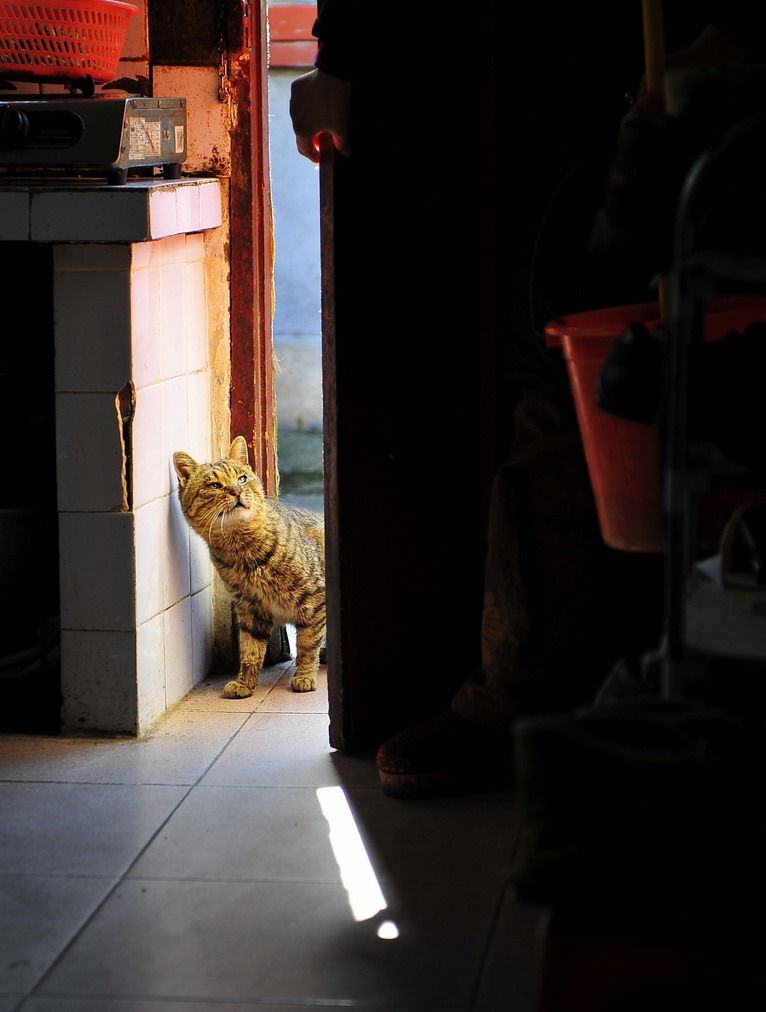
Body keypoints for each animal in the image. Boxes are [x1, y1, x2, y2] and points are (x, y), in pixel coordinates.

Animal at [173, 435, 325, 696]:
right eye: (215, 485)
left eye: (242, 478)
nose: (237, 490)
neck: (242, 550)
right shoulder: (250, 607)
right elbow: (250, 650)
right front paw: (244, 682)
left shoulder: (314, 598)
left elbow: (307, 644)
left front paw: (304, 676)